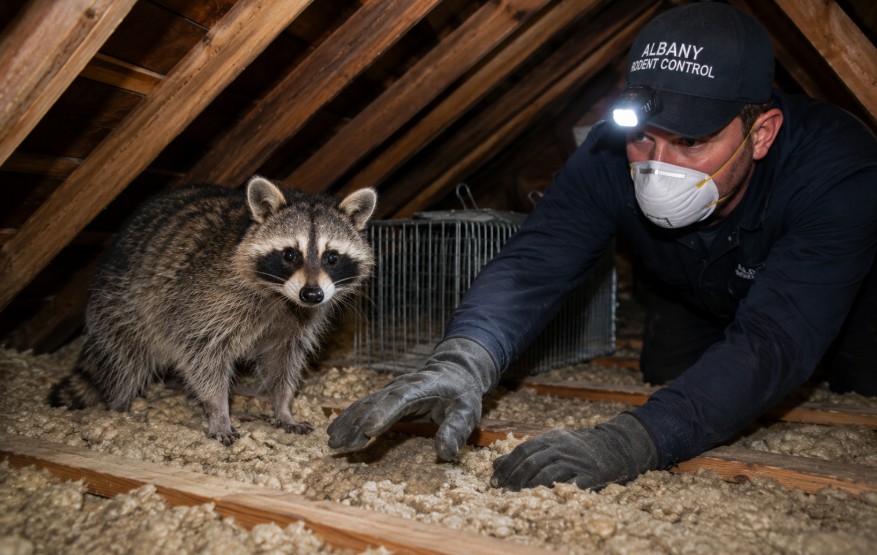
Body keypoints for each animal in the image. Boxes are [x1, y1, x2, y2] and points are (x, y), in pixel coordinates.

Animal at [49, 176, 377, 445]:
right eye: (289, 254)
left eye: (332, 257)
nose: (312, 294)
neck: (281, 296)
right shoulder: (206, 303)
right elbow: (203, 356)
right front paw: (219, 411)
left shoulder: (296, 321)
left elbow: (281, 361)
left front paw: (283, 407)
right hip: (121, 302)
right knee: (124, 358)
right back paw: (118, 406)